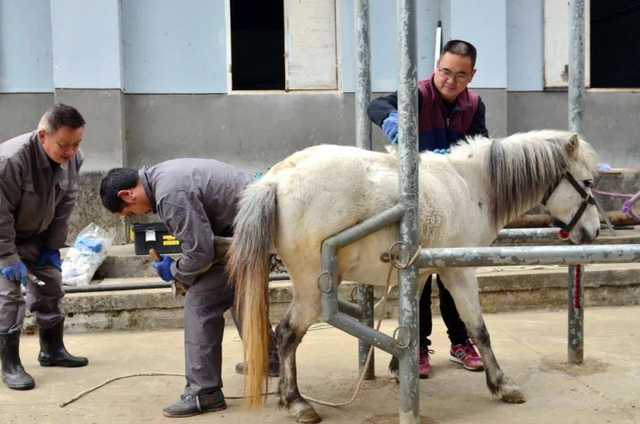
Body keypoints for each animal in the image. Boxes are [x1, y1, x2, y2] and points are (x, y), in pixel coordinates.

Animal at [228, 131, 604, 422]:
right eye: (586, 182)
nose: (593, 231)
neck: (470, 186)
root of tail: (276, 180)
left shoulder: (419, 272)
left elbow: (414, 319)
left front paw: (400, 367)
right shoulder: (459, 273)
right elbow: (479, 329)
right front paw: (501, 384)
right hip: (312, 290)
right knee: (287, 334)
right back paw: (296, 402)